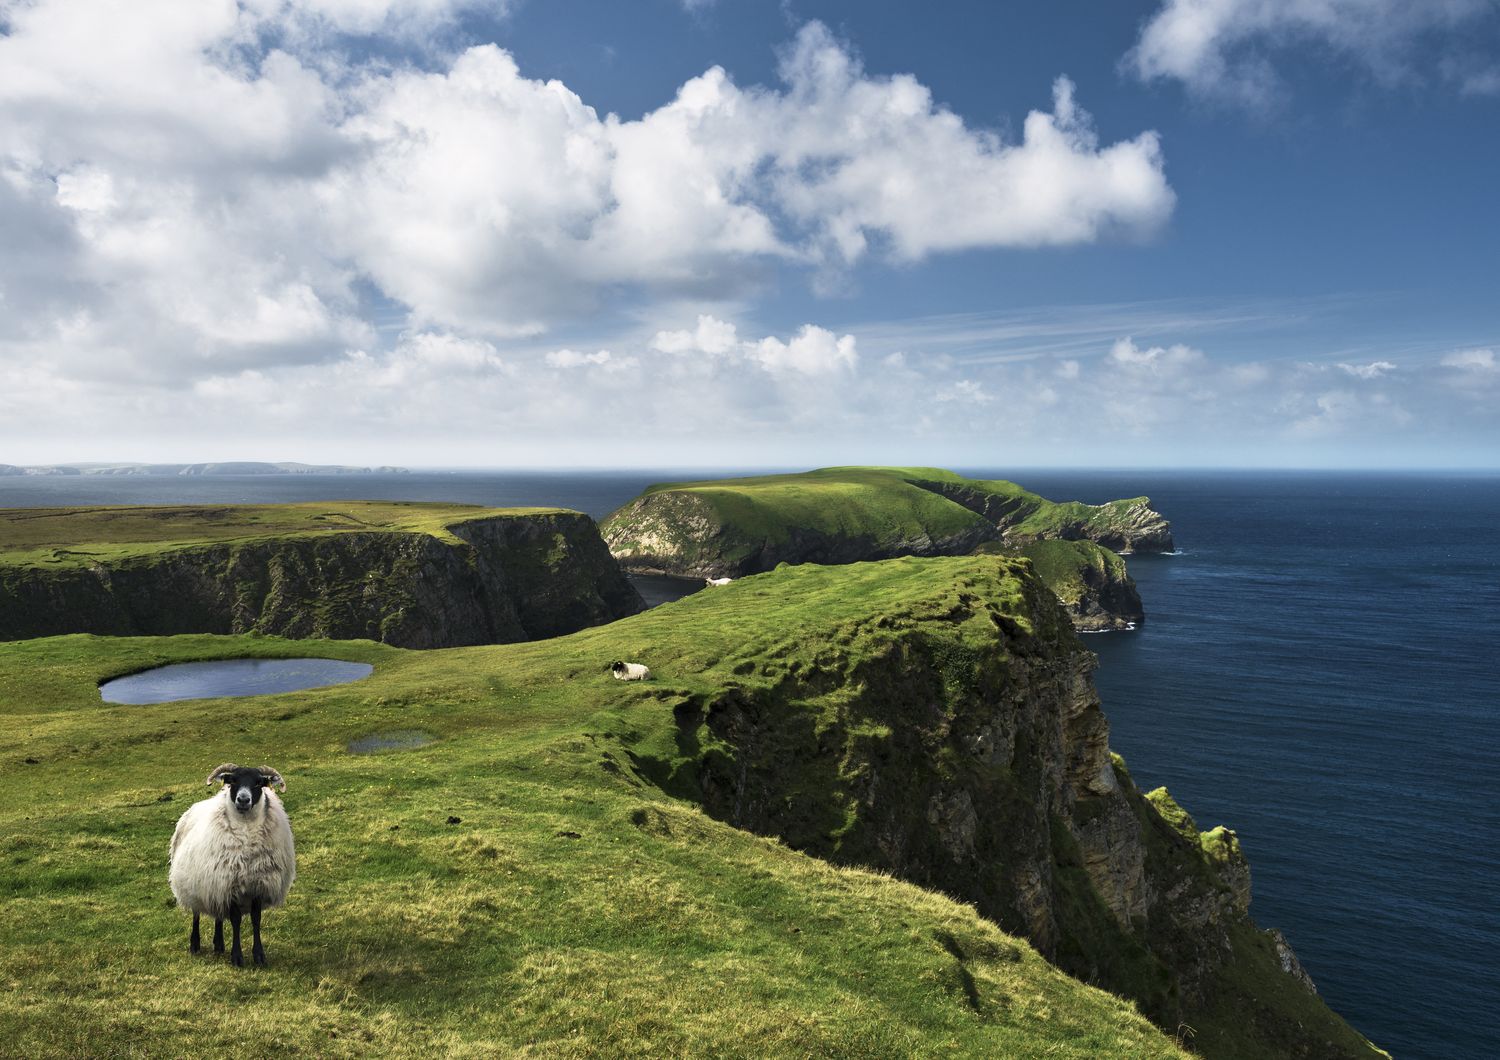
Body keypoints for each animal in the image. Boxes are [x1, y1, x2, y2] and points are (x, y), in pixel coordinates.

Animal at [169, 761, 295, 971]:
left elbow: (256, 919)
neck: (246, 831)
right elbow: (236, 921)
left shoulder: (256, 885)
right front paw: (237, 957)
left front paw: (259, 955)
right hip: (197, 884)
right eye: (233, 780)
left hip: (216, 886)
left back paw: (219, 944)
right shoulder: (231, 885)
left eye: (259, 782)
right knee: (196, 914)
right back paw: (195, 944)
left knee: (218, 914)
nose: (243, 799)